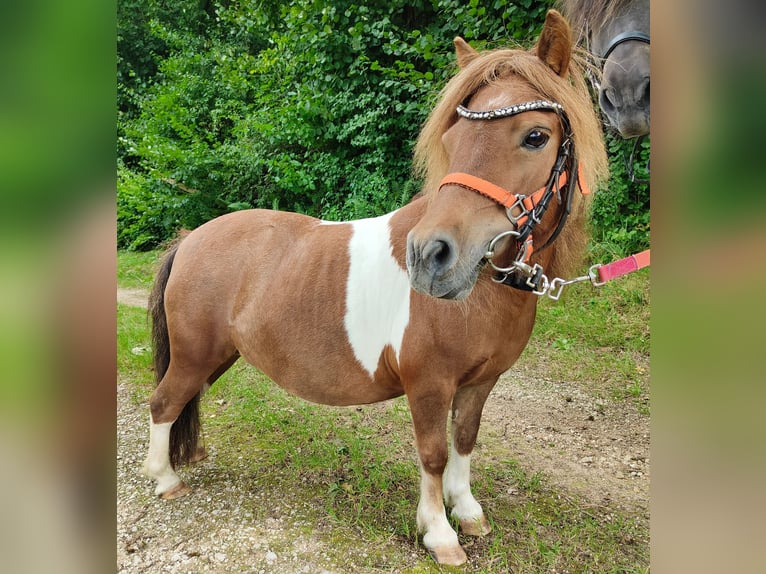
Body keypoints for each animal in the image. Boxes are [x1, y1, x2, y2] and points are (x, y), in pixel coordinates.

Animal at [144, 10, 608, 568]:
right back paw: (165, 480)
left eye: (536, 136)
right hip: (194, 354)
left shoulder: (479, 383)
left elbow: (464, 440)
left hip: (217, 356)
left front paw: (468, 512)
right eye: (451, 140)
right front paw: (440, 534)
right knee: (163, 403)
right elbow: (433, 453)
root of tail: (191, 238)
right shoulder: (429, 384)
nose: (430, 257)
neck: (481, 294)